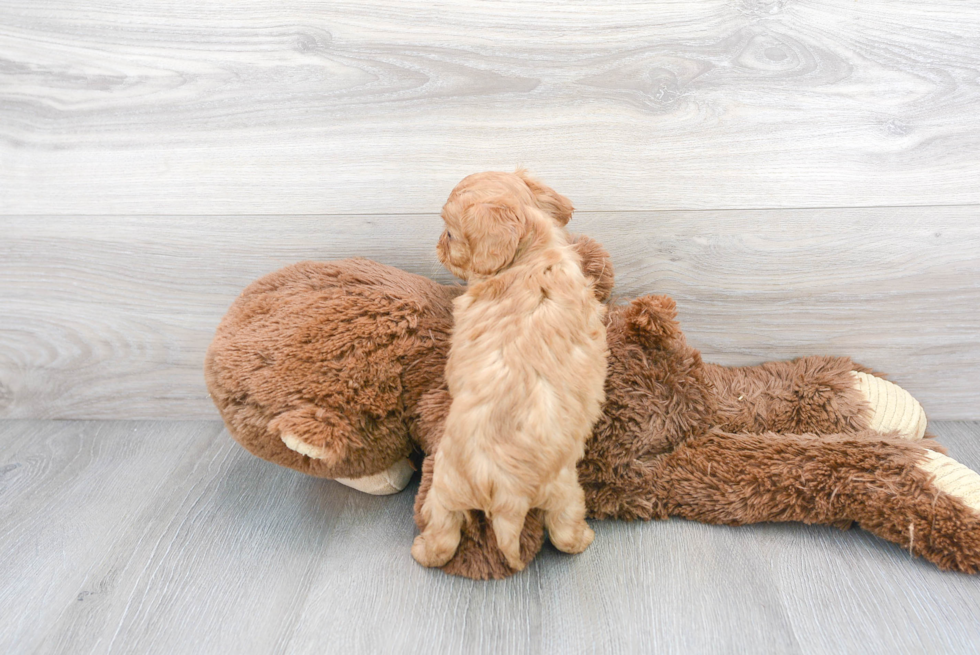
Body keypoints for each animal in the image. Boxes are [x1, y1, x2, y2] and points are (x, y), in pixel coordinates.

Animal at [410, 172, 608, 572]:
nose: (438, 246)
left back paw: (421, 549)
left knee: (443, 536)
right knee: (563, 535)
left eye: (450, 234)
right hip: (563, 492)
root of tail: (508, 497)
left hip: (446, 490)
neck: (532, 256)